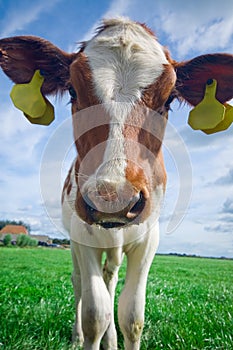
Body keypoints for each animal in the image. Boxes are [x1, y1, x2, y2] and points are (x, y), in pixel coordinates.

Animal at [0, 17, 233, 350]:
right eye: (73, 92)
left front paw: (119, 334)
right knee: (79, 284)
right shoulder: (81, 235)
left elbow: (131, 316)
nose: (113, 195)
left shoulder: (149, 238)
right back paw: (76, 336)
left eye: (168, 100)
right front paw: (87, 334)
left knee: (110, 278)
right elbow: (95, 313)